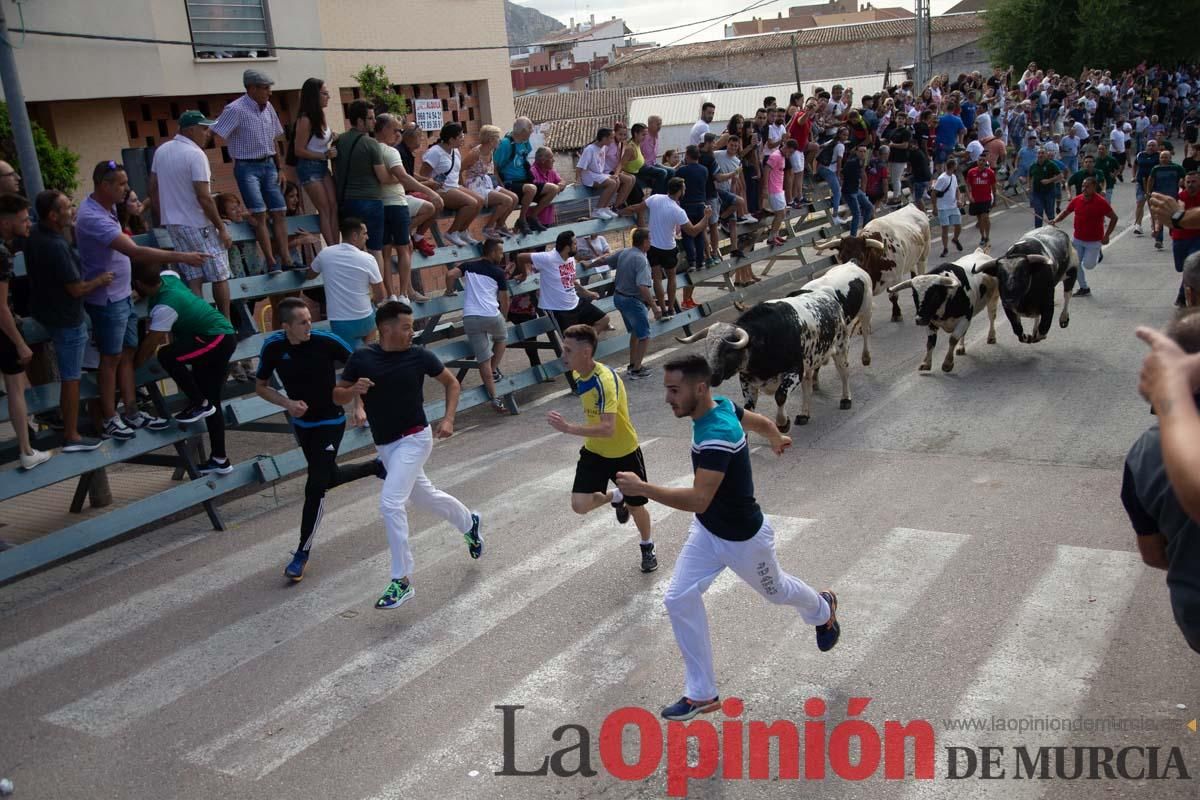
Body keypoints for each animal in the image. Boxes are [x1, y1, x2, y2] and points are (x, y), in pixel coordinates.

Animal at [676, 292, 854, 431]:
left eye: (727, 351)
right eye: (707, 347)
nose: (712, 376)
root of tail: (829, 298)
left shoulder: (794, 371)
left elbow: (780, 396)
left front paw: (782, 423)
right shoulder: (747, 380)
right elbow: (748, 408)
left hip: (841, 348)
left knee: (844, 373)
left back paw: (846, 399)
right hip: (810, 364)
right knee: (807, 387)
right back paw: (804, 414)